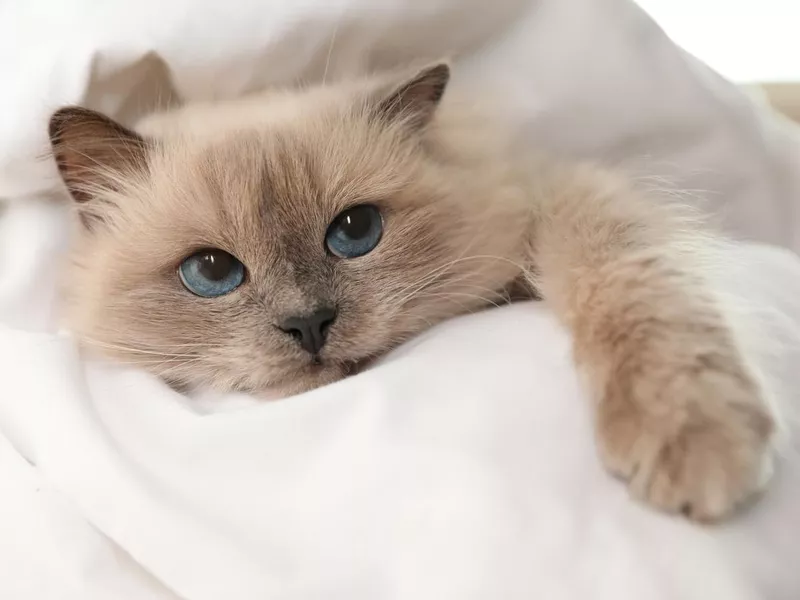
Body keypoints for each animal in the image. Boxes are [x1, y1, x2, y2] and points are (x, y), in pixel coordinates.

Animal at [48, 62, 776, 520]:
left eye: (355, 231)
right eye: (211, 272)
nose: (309, 325)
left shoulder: (561, 198)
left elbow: (638, 297)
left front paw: (696, 439)